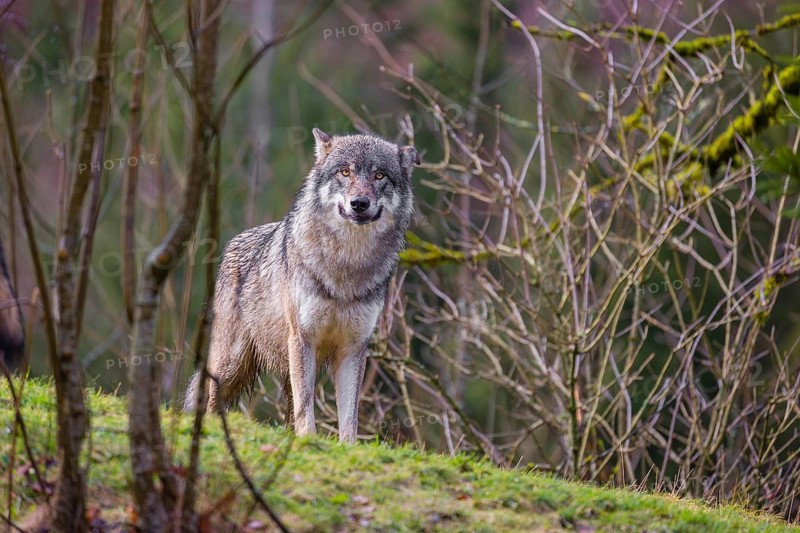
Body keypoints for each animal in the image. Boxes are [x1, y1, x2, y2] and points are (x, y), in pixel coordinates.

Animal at [185, 128, 418, 443]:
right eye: (345, 172)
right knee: (212, 399)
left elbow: (349, 416)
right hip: (232, 363)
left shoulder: (353, 347)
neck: (346, 266)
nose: (359, 203)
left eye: (379, 175)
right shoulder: (303, 339)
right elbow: (306, 408)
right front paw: (309, 440)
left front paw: (347, 447)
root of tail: (233, 243)